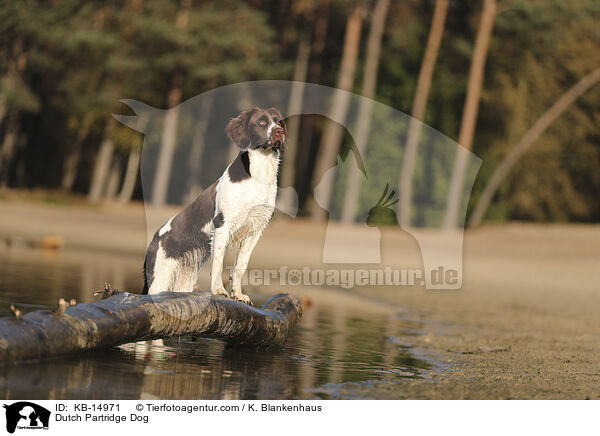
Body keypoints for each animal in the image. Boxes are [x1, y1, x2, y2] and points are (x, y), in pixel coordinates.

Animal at [144, 107, 288, 304]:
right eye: (262, 123)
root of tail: (154, 240)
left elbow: (240, 265)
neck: (259, 175)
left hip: (183, 279)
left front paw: (238, 294)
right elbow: (218, 263)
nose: (279, 132)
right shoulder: (222, 225)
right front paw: (219, 290)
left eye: (279, 122)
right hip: (160, 278)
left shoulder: (255, 230)